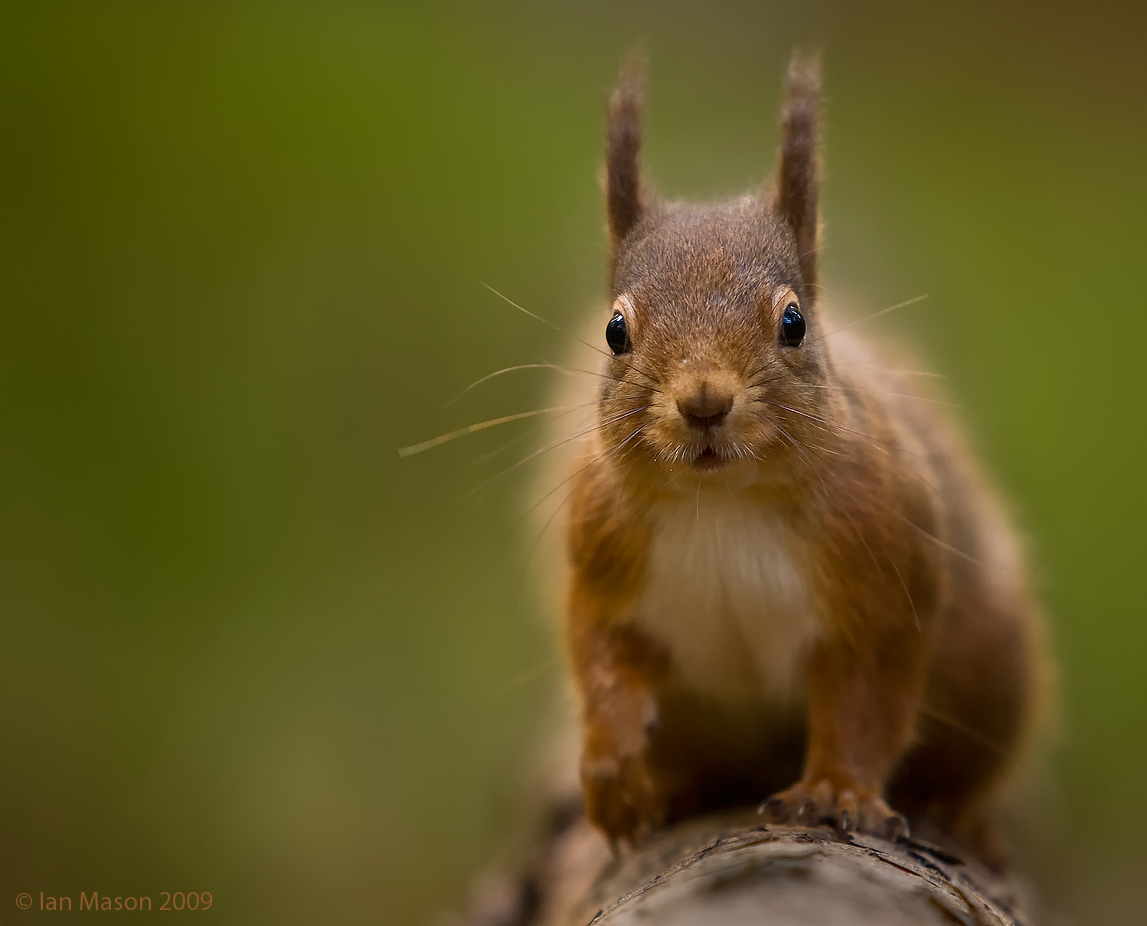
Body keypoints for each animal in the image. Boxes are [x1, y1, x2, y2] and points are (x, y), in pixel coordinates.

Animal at [559, 53, 1047, 868]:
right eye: (614, 331)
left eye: (793, 322)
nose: (703, 401)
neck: (722, 502)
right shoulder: (602, 560)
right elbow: (602, 661)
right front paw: (613, 777)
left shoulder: (883, 570)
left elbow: (865, 698)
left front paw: (835, 791)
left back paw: (958, 810)